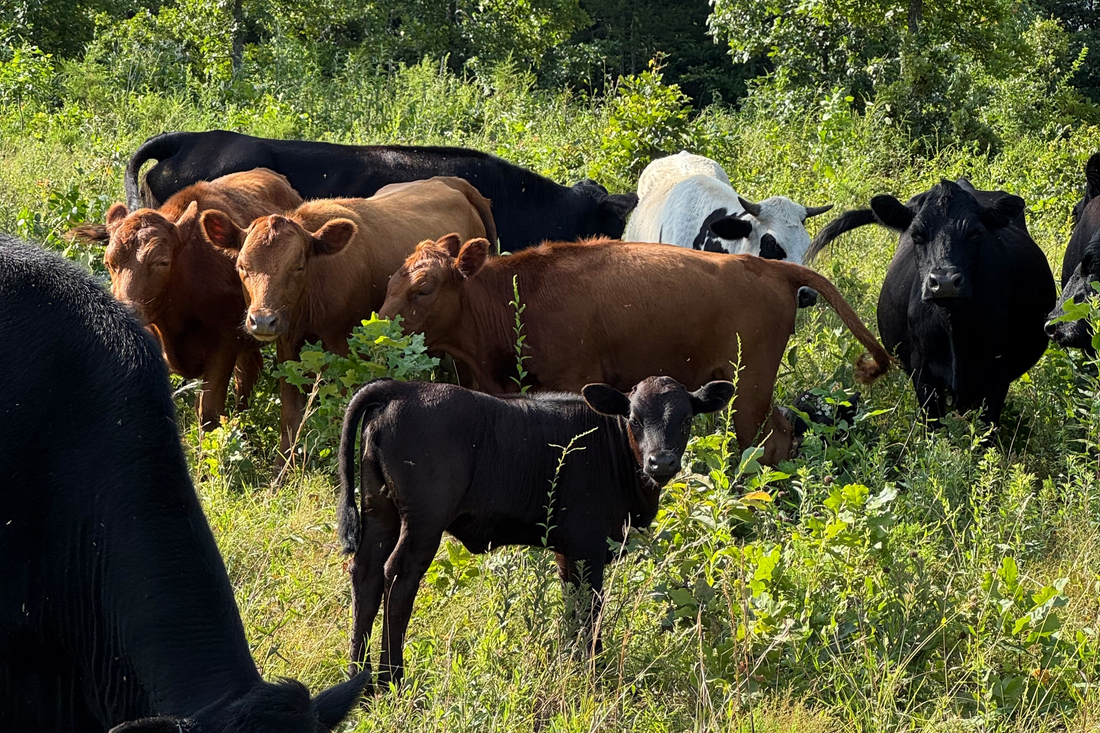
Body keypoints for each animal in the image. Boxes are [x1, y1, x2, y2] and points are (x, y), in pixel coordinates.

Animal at [200, 176, 496, 455]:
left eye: (298, 267)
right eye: (242, 266)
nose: (262, 320)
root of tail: (449, 181)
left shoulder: (345, 354)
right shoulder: (288, 349)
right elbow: (291, 418)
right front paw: (282, 468)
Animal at [336, 376, 735, 688]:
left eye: (686, 420)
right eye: (634, 419)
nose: (661, 461)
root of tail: (401, 388)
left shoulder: (568, 550)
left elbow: (573, 606)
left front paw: (573, 662)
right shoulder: (588, 547)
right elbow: (590, 609)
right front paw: (594, 671)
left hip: (380, 510)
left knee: (366, 574)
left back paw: (359, 677)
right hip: (424, 522)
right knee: (399, 578)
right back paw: (391, 679)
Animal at [378, 235, 893, 464]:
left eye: (423, 288)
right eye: (390, 282)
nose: (377, 326)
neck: (518, 296)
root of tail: (771, 268)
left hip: (747, 391)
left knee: (765, 441)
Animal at [808, 179, 1055, 422]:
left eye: (975, 233)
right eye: (916, 234)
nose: (945, 282)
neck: (954, 323)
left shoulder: (998, 372)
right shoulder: (923, 372)